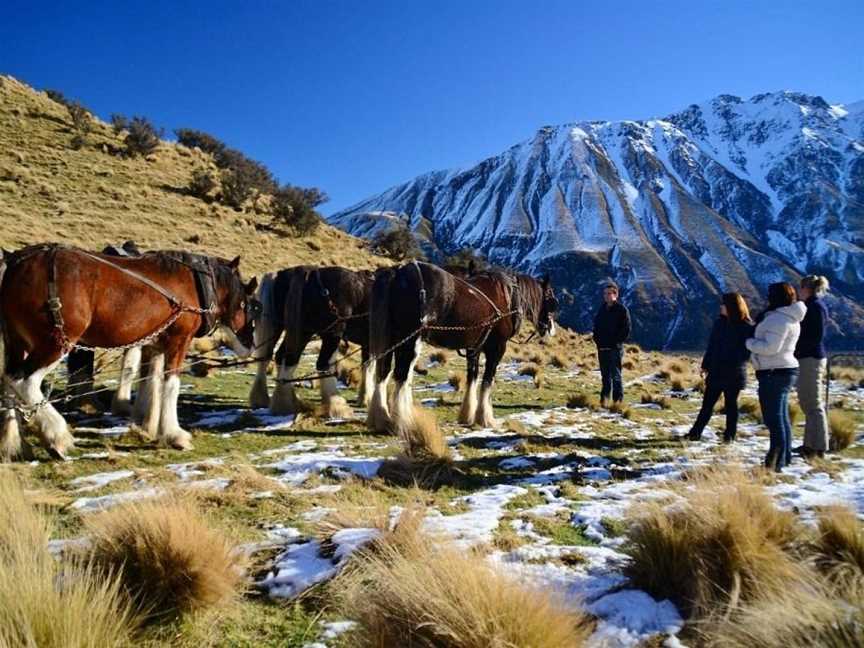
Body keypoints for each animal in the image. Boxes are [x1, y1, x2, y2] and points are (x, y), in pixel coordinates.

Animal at [0, 244, 258, 460]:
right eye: (246, 303)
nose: (250, 345)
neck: (194, 284)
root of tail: (16, 262)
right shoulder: (178, 341)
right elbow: (171, 385)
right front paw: (174, 434)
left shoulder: (154, 343)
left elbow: (151, 381)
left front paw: (148, 425)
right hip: (55, 342)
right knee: (24, 382)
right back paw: (58, 437)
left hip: (17, 343)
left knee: (9, 381)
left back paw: (15, 445)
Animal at [246, 266, 374, 418]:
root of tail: (309, 272)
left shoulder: (369, 343)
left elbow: (368, 366)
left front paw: (364, 398)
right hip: (325, 334)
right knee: (318, 363)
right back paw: (336, 406)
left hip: (284, 328)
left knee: (272, 358)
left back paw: (275, 401)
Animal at [366, 262, 556, 436]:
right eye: (551, 299)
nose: (551, 329)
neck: (508, 296)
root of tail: (397, 272)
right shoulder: (496, 348)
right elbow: (487, 380)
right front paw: (485, 418)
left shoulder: (474, 348)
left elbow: (472, 376)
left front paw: (467, 415)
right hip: (410, 340)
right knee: (401, 375)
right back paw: (402, 422)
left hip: (393, 338)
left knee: (383, 372)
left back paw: (382, 418)